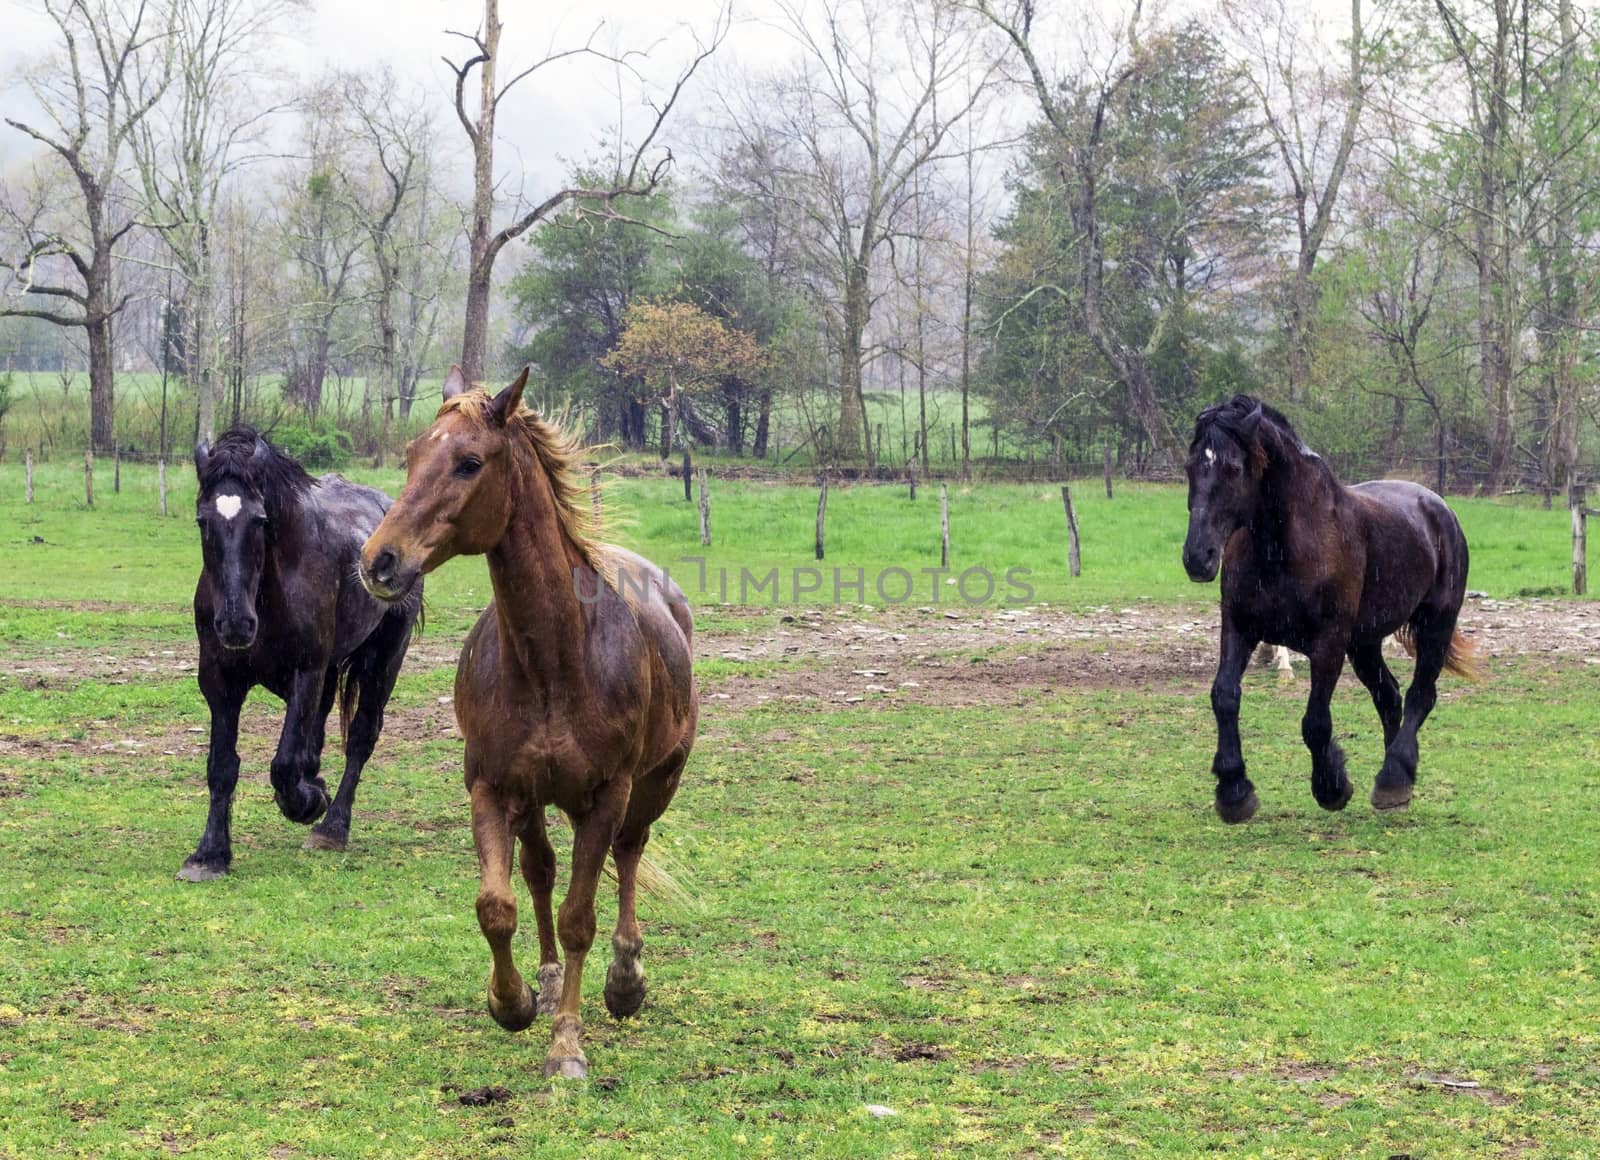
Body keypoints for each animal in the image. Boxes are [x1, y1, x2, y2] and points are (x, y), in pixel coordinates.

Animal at [178, 428, 422, 883]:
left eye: (260, 521)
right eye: (204, 521)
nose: (235, 624)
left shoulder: (305, 673)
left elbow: (285, 763)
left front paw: (307, 801)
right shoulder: (220, 682)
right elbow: (222, 766)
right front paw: (209, 854)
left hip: (382, 662)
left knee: (360, 738)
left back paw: (332, 827)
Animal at [358, 368, 694, 1075]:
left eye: (469, 462)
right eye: (411, 456)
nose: (379, 561)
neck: (555, 657)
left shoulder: (607, 796)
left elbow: (580, 918)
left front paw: (567, 1043)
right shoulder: (491, 786)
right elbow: (497, 905)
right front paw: (510, 1001)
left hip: (654, 785)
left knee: (628, 855)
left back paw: (625, 979)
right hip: (537, 799)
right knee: (540, 869)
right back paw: (544, 978)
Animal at [1184, 395, 1478, 825]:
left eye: (1234, 468)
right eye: (1190, 467)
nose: (1198, 557)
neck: (1284, 546)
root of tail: (1439, 508)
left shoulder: (1329, 643)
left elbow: (1316, 722)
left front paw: (1332, 788)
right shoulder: (1239, 628)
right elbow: (1224, 696)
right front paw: (1234, 791)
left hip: (1435, 624)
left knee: (1420, 695)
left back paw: (1394, 778)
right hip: (1365, 643)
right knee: (1389, 697)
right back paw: (1397, 783)